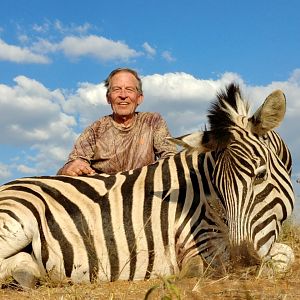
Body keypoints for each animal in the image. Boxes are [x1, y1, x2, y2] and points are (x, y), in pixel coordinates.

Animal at [0, 83, 294, 288]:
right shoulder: (202, 240)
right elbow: (282, 256)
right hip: (16, 219)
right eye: (218, 190)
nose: (243, 264)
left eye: (260, 175)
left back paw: (27, 272)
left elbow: (283, 254)